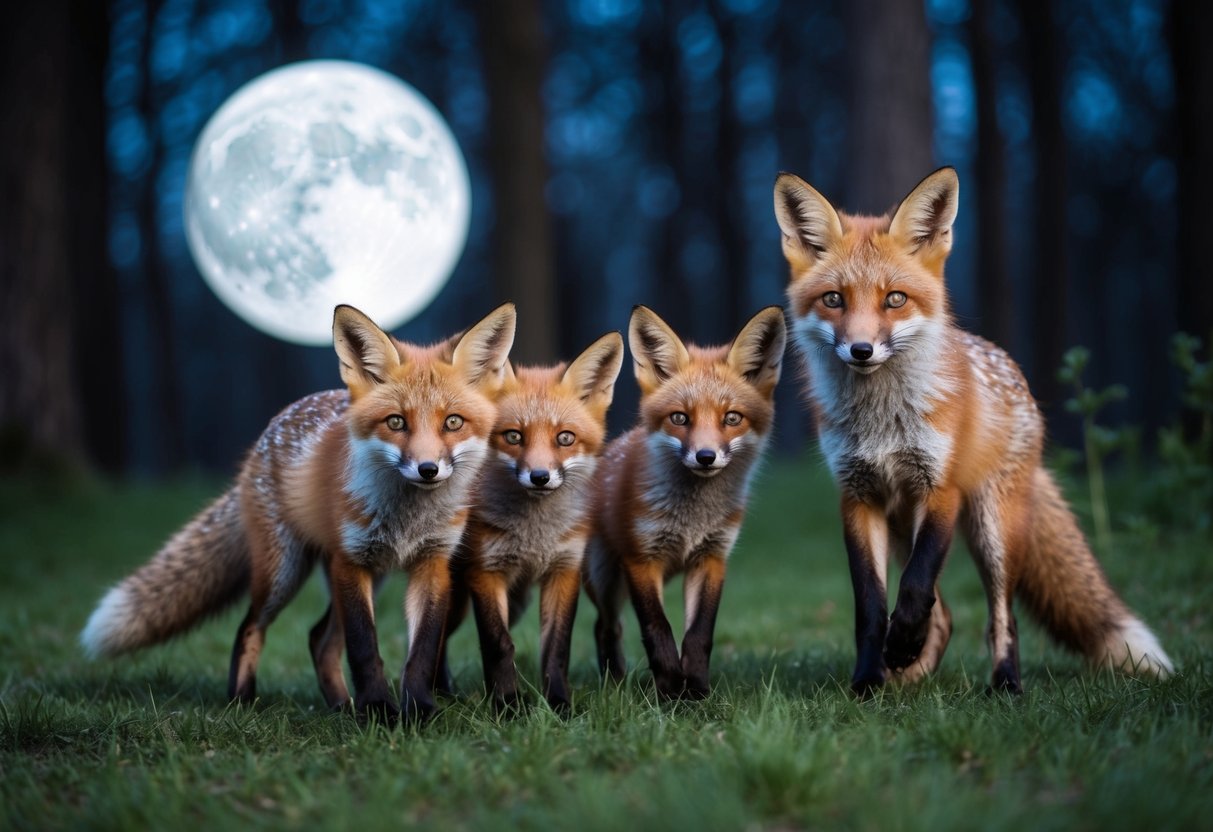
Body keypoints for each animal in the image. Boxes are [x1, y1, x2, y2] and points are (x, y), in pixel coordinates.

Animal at [80, 303, 516, 720]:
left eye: (453, 422)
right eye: (396, 422)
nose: (427, 469)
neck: (408, 520)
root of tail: (263, 438)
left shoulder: (433, 563)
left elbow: (422, 651)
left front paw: (419, 711)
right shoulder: (350, 560)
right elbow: (364, 649)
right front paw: (379, 711)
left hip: (364, 577)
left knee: (318, 640)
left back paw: (341, 707)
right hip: (284, 572)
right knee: (251, 627)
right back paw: (242, 703)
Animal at [437, 332, 625, 712]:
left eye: (564, 438)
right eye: (514, 436)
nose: (539, 477)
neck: (535, 537)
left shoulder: (563, 571)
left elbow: (556, 649)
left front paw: (559, 705)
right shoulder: (485, 572)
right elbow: (498, 644)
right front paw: (507, 707)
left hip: (517, 599)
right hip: (458, 599)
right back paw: (441, 695)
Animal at [583, 305, 786, 700]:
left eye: (731, 418)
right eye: (680, 418)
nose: (705, 457)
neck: (692, 519)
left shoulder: (711, 558)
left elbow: (699, 635)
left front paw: (696, 692)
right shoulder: (641, 559)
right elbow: (657, 629)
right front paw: (669, 692)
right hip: (603, 578)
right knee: (606, 626)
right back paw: (614, 683)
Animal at [772, 166, 1173, 694]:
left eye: (894, 299)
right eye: (833, 300)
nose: (861, 350)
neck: (883, 423)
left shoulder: (941, 488)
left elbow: (915, 588)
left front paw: (899, 648)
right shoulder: (857, 496)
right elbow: (872, 606)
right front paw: (868, 681)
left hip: (993, 528)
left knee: (1000, 617)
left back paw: (1004, 685)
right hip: (901, 526)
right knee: (943, 618)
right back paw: (906, 675)